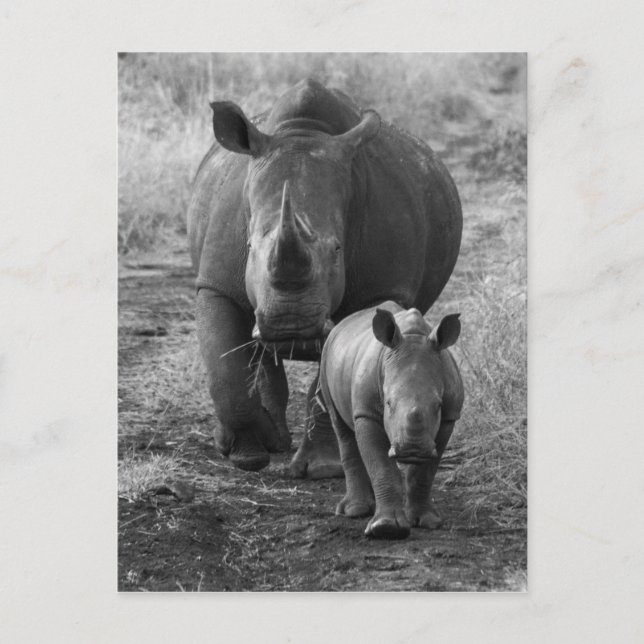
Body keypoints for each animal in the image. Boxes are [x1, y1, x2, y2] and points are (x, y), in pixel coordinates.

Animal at [187, 78, 462, 475]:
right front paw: (247, 456)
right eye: (250, 246)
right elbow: (224, 367)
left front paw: (321, 469)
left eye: (337, 249)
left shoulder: (378, 288)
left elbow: (333, 372)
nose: (291, 327)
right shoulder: (216, 283)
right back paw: (266, 442)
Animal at [319, 303, 464, 539]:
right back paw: (354, 510)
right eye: (388, 403)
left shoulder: (449, 417)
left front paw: (427, 522)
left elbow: (425, 473)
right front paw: (386, 529)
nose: (413, 449)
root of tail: (342, 324)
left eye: (438, 406)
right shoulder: (366, 412)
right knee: (341, 428)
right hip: (325, 356)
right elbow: (381, 467)